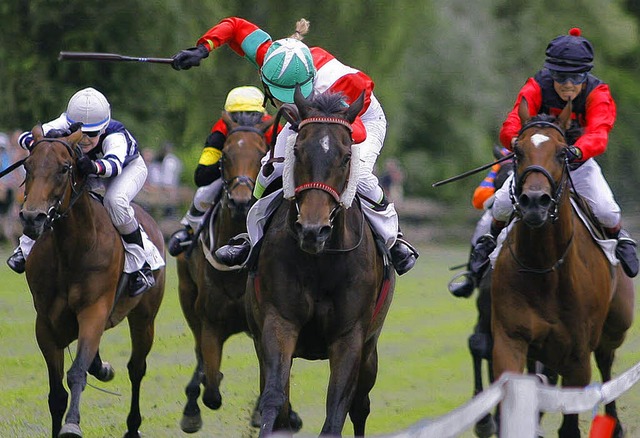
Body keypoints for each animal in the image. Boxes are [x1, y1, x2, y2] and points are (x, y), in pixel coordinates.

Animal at [20, 126, 166, 438]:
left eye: (64, 168)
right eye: (27, 165)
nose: (32, 218)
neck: (72, 249)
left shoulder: (93, 311)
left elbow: (77, 372)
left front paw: (72, 424)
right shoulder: (46, 324)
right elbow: (56, 394)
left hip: (144, 317)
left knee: (137, 368)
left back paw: (132, 427)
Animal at [178, 111, 282, 432]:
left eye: (263, 155)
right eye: (224, 156)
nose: (240, 201)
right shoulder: (211, 323)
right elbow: (211, 389)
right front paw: (195, 405)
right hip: (187, 297)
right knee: (199, 356)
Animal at [245, 87, 396, 436]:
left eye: (346, 157)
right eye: (297, 150)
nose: (313, 230)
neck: (321, 262)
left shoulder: (351, 337)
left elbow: (337, 410)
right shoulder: (278, 323)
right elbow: (274, 398)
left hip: (370, 350)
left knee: (361, 406)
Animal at [490, 100, 636, 438]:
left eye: (562, 152)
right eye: (517, 151)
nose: (535, 202)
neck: (544, 267)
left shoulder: (577, 355)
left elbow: (571, 423)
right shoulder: (509, 340)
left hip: (615, 325)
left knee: (607, 363)